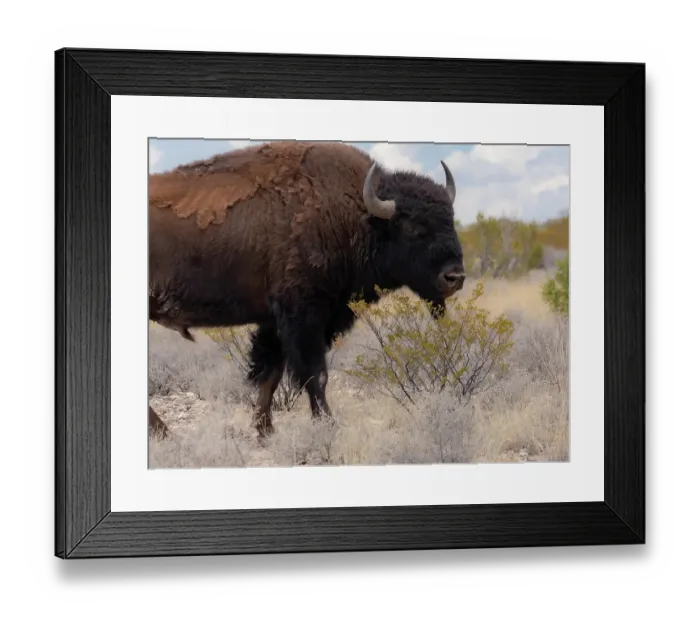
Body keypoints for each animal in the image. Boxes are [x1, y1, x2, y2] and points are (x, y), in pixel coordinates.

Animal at [148, 141, 466, 440]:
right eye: (413, 227)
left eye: (450, 221)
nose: (455, 276)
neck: (353, 215)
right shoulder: (304, 316)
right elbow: (316, 374)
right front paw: (326, 424)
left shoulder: (278, 322)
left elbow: (271, 373)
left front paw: (265, 431)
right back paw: (164, 433)